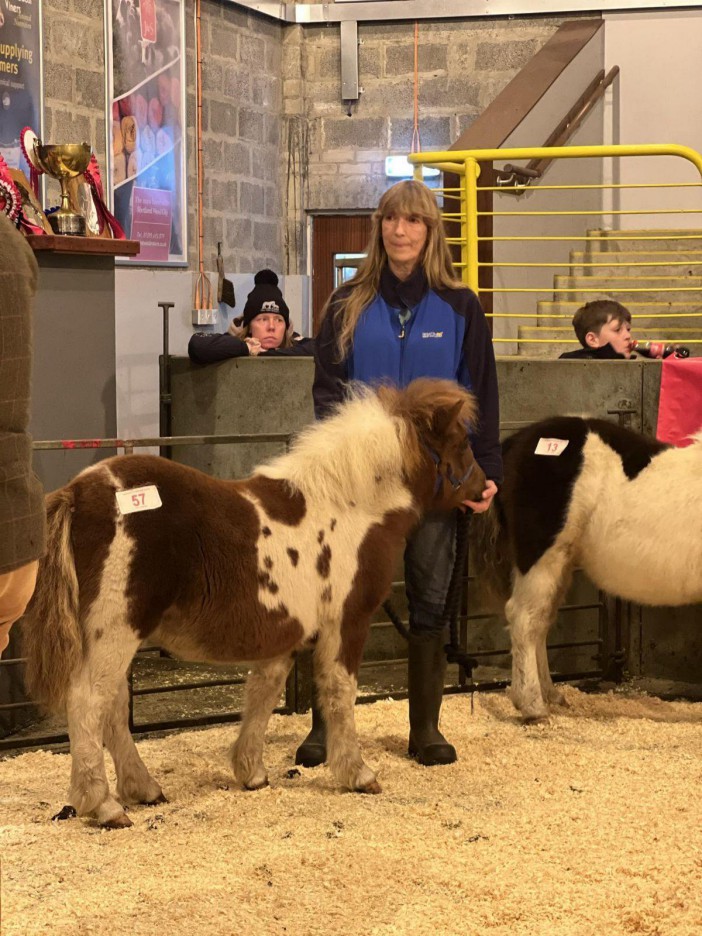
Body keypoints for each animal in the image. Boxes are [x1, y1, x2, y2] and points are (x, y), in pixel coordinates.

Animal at [22, 376, 484, 828]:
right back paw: (104, 805)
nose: (484, 490)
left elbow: (264, 691)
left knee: (114, 707)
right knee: (88, 702)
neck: (349, 506)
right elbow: (339, 691)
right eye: (460, 441)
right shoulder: (346, 623)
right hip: (116, 630)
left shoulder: (283, 632)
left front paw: (251, 772)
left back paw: (144, 788)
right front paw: (357, 773)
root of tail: (77, 494)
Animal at [470, 414, 702, 724]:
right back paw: (533, 706)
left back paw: (551, 695)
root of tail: (518, 441)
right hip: (541, 558)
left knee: (540, 622)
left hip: (561, 564)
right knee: (524, 619)